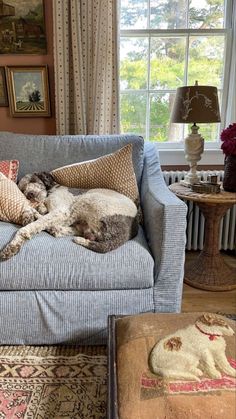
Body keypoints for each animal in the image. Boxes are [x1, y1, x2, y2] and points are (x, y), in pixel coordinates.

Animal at [0, 171, 139, 260]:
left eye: (34, 180)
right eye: (22, 189)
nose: (29, 194)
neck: (51, 191)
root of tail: (128, 232)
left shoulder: (61, 211)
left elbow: (29, 227)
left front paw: (12, 246)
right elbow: (38, 210)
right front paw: (30, 214)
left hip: (87, 200)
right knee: (66, 230)